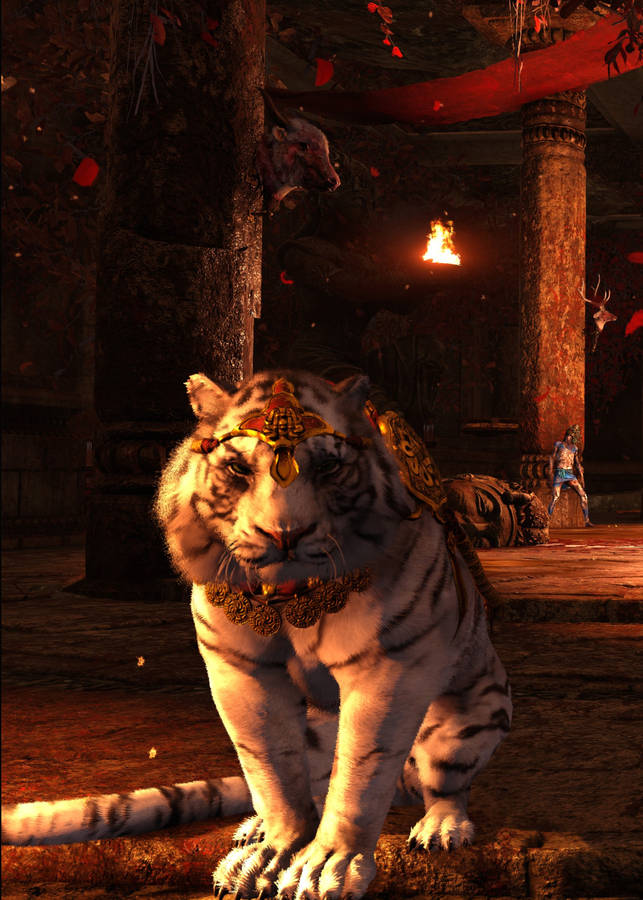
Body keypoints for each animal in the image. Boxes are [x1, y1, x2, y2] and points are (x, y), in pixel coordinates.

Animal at [2, 370, 512, 900]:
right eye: (237, 469)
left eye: (329, 467)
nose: (284, 534)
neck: (291, 596)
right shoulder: (239, 669)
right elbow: (269, 765)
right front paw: (273, 854)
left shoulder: (387, 669)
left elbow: (362, 773)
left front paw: (327, 867)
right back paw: (257, 827)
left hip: (467, 715)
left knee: (440, 783)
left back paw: (440, 827)